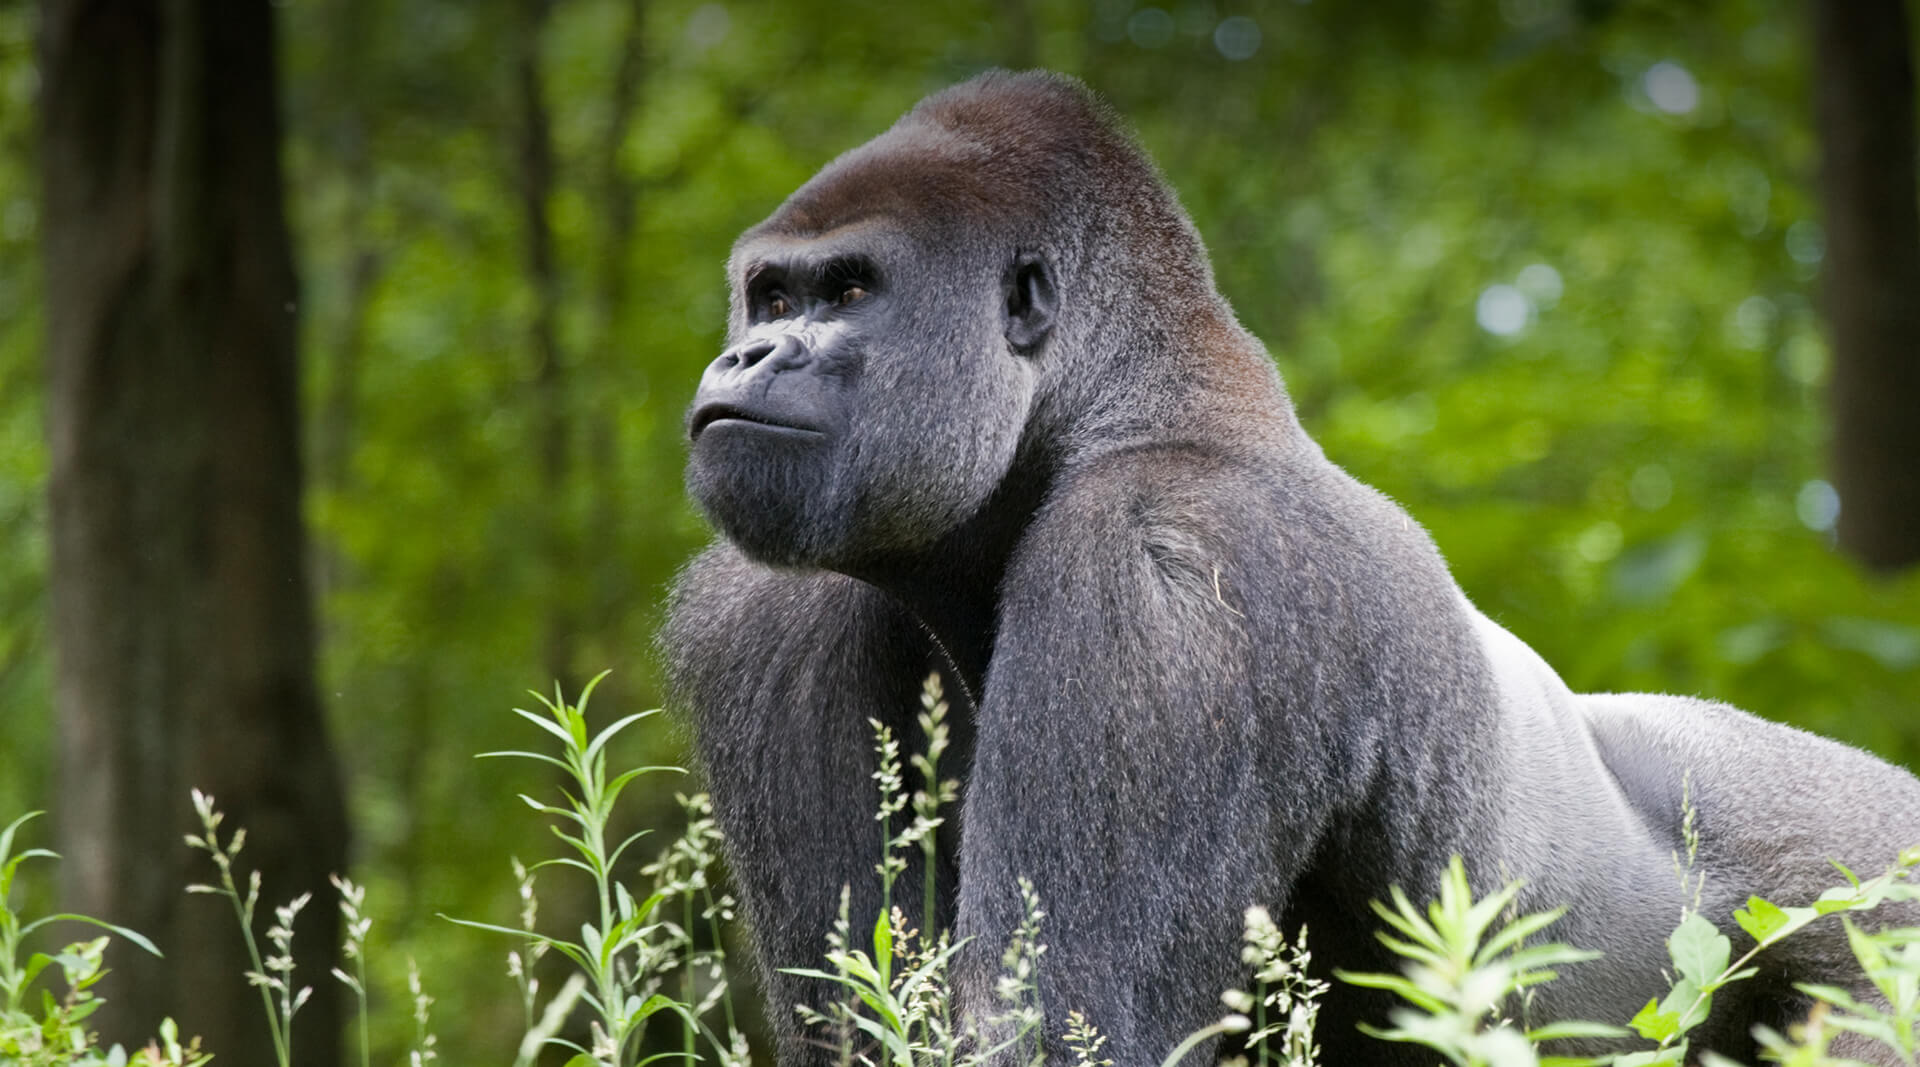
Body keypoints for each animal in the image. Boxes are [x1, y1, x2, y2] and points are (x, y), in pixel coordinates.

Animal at [661, 70, 1920, 1066]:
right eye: (771, 295)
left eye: (850, 292)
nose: (749, 354)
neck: (1116, 408)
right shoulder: (771, 612)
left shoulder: (1164, 563)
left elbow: (1066, 1027)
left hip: (1873, 892)